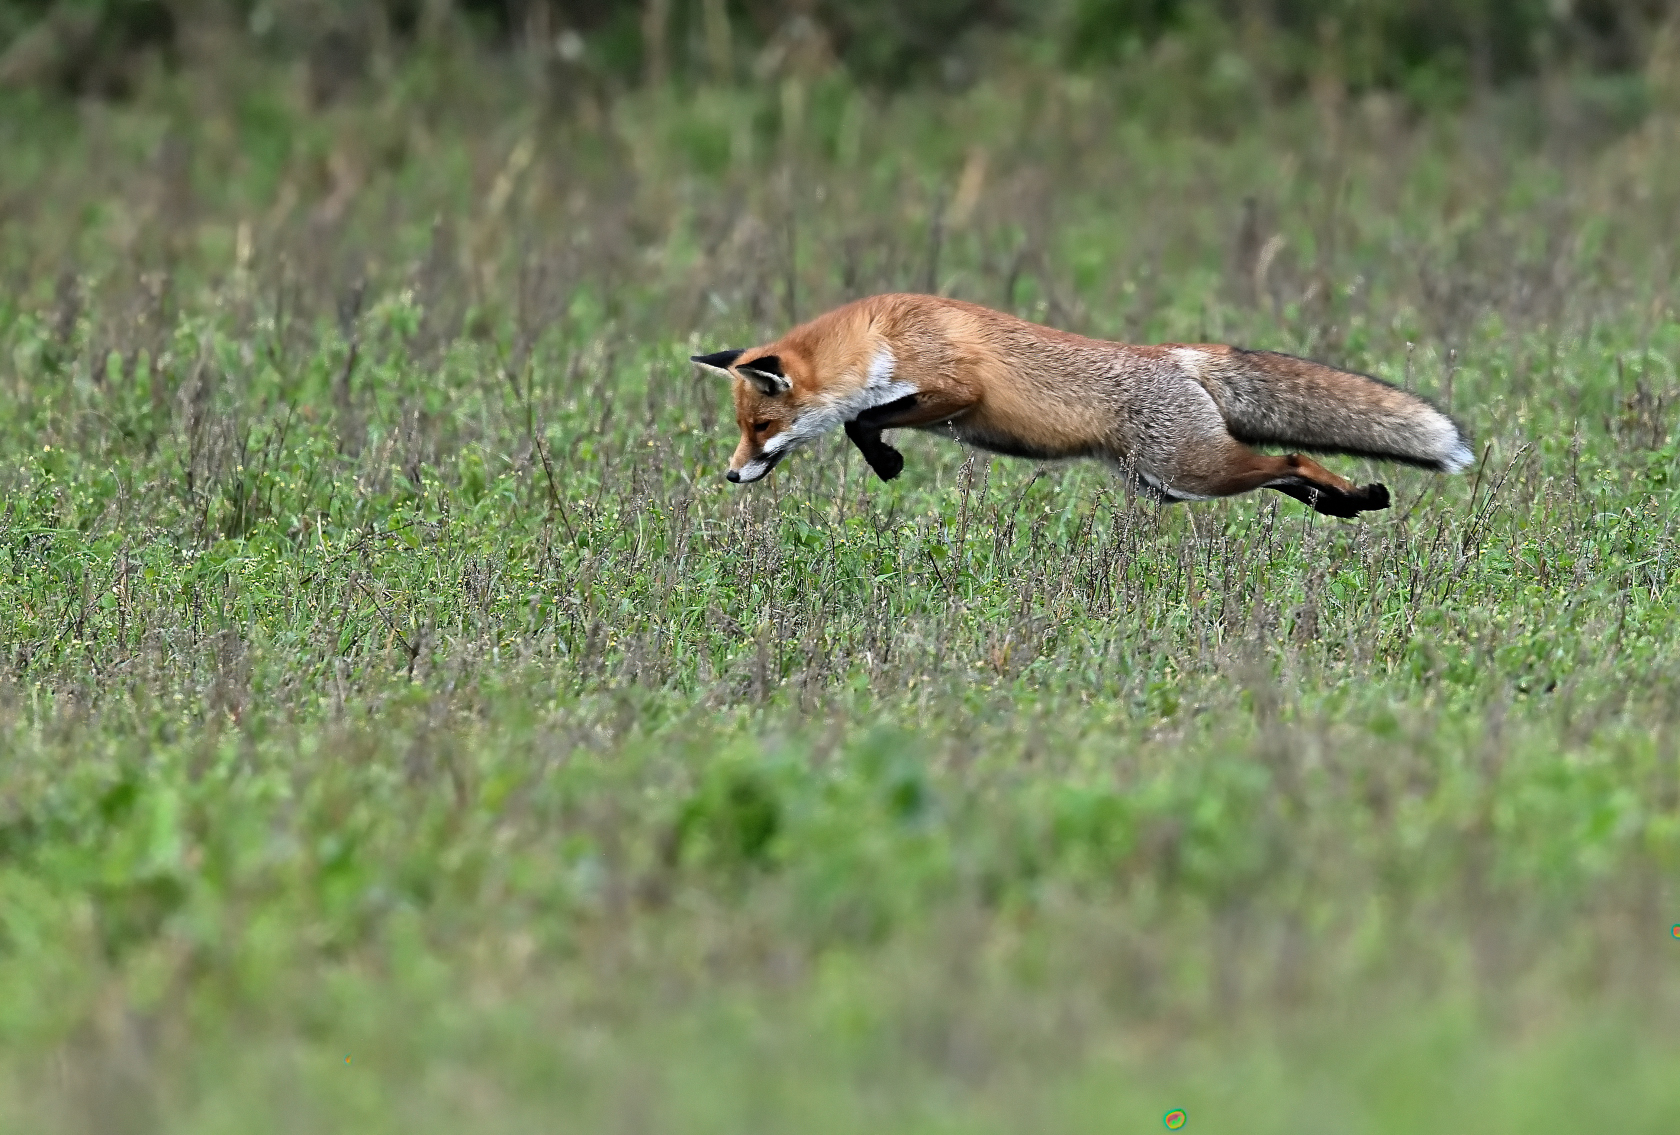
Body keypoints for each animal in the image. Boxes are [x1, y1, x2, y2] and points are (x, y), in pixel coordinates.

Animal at [691, 293, 1472, 517]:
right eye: (742, 429)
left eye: (761, 426)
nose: (730, 474)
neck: (882, 335)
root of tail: (1173, 353)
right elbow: (860, 417)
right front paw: (885, 461)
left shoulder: (956, 388)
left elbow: (861, 417)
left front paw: (885, 460)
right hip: (1170, 483)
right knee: (1283, 470)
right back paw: (1339, 505)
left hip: (1189, 470)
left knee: (1294, 456)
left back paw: (1356, 496)